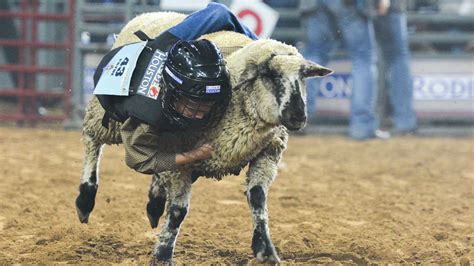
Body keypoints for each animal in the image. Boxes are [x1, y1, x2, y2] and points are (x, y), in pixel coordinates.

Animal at [75, 9, 334, 264]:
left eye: (303, 77)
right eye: (269, 75)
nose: (298, 115)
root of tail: (150, 13)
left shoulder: (267, 152)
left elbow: (257, 197)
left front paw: (265, 249)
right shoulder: (177, 159)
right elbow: (178, 210)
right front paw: (163, 254)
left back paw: (155, 202)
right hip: (103, 117)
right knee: (93, 142)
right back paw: (85, 199)